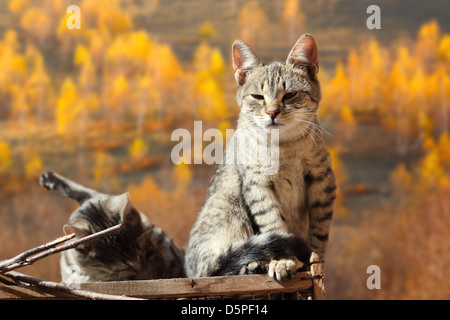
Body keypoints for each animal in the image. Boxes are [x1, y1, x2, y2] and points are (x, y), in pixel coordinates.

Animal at [185, 33, 336, 282]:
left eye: (290, 95)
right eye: (258, 97)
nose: (273, 112)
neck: (284, 149)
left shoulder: (323, 182)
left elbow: (319, 234)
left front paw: (315, 264)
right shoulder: (257, 186)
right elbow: (274, 224)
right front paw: (283, 261)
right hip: (228, 207)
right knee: (213, 269)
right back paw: (252, 265)